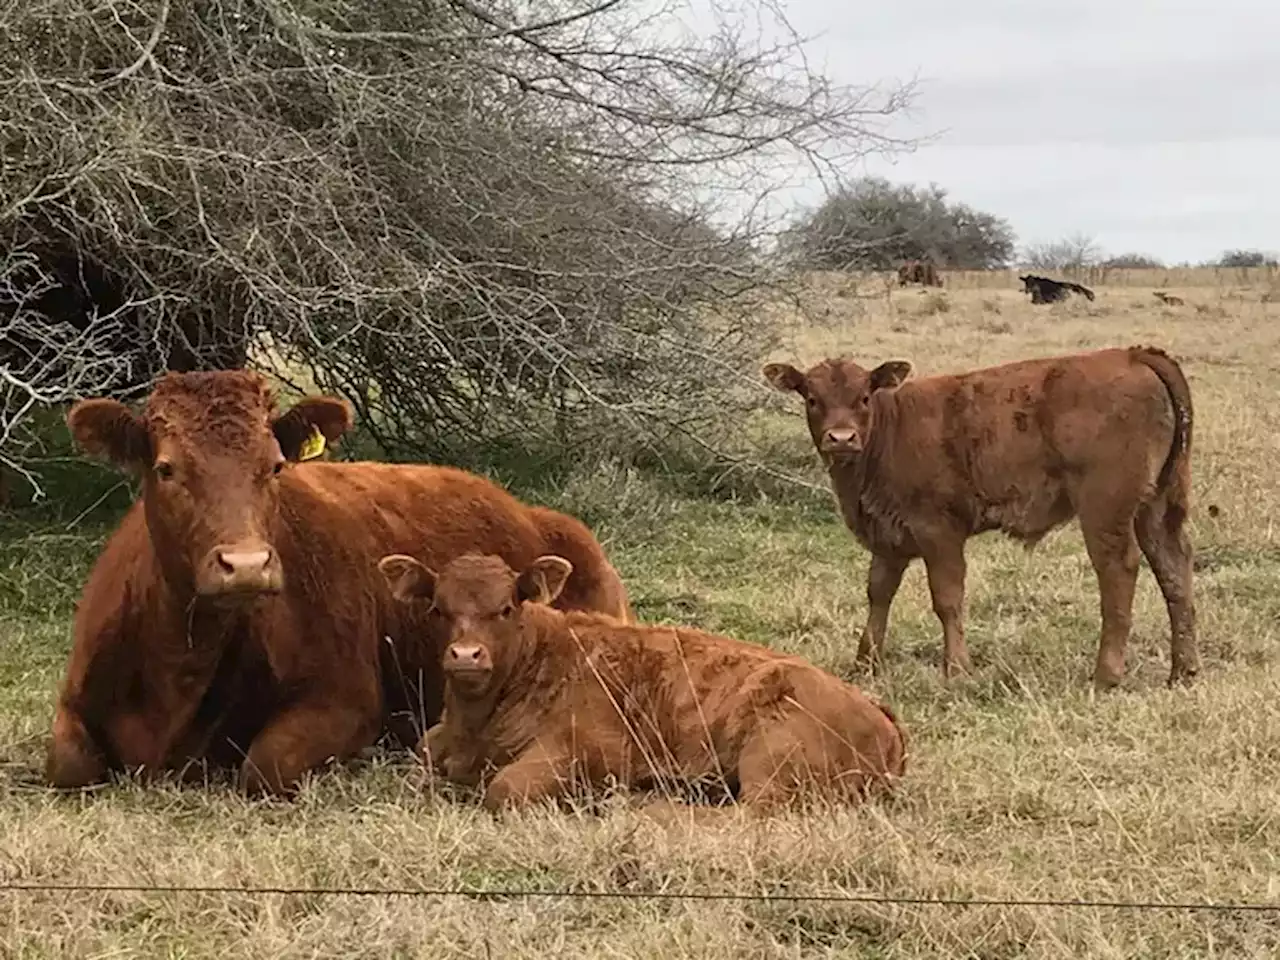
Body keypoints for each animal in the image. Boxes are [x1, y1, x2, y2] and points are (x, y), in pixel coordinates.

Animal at [48, 368, 629, 798]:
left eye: (275, 466)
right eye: (166, 468)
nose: (247, 564)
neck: (180, 670)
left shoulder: (346, 699)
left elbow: (264, 766)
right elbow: (69, 764)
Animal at [378, 552, 911, 814]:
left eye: (506, 608)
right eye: (438, 609)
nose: (466, 656)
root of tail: (879, 713)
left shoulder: (591, 750)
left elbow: (504, 789)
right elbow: (418, 758)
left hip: (774, 760)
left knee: (750, 816)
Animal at [768, 345, 1198, 691]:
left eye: (863, 397)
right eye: (811, 398)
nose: (841, 438)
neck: (891, 430)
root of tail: (1131, 354)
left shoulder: (939, 532)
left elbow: (947, 600)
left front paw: (956, 669)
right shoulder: (889, 539)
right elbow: (878, 594)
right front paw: (864, 664)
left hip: (1105, 509)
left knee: (1118, 571)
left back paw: (1106, 674)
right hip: (1156, 506)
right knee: (1173, 569)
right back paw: (1183, 672)